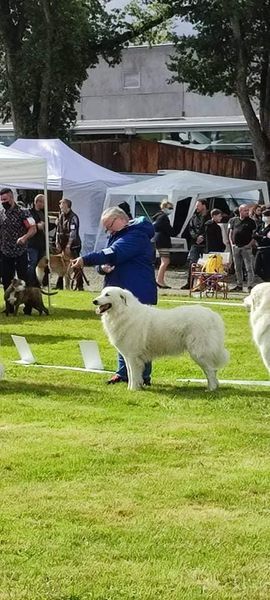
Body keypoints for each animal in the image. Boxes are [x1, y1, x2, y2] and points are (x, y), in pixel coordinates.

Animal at [94, 288, 229, 392]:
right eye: (101, 293)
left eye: (107, 294)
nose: (94, 301)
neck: (123, 312)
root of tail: (213, 315)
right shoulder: (129, 357)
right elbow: (131, 374)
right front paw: (134, 388)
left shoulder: (132, 356)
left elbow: (133, 374)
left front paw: (132, 390)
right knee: (212, 370)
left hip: (199, 352)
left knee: (211, 370)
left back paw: (210, 389)